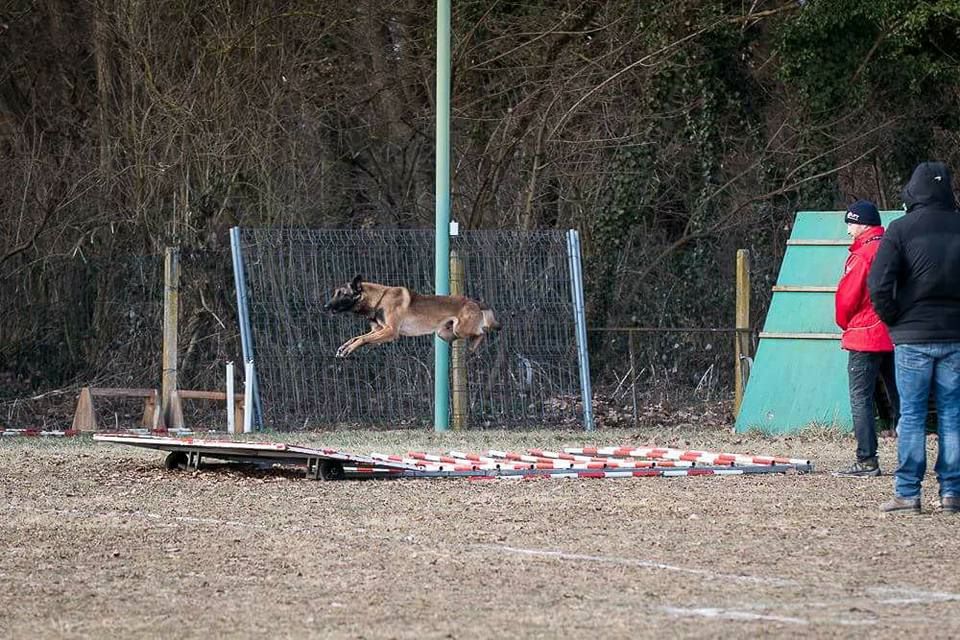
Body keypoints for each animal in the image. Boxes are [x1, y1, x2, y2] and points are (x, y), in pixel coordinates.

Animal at [322, 274, 502, 358]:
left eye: (343, 294)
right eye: (335, 293)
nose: (325, 306)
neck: (379, 298)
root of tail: (474, 301)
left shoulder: (390, 331)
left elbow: (362, 339)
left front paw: (348, 350)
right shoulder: (378, 330)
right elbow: (357, 337)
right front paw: (344, 347)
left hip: (460, 329)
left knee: (483, 331)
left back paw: (475, 345)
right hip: (444, 333)